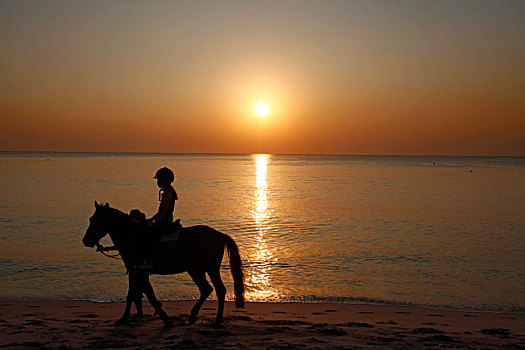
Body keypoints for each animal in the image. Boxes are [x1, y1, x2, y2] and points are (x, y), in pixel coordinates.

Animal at [82, 201, 246, 326]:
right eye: (90, 219)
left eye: (96, 220)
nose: (85, 240)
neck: (133, 237)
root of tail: (219, 235)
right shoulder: (138, 273)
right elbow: (138, 294)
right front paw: (127, 318)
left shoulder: (137, 272)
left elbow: (143, 296)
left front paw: (164, 319)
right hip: (198, 270)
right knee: (209, 289)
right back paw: (196, 316)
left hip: (206, 269)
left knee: (217, 290)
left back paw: (216, 320)